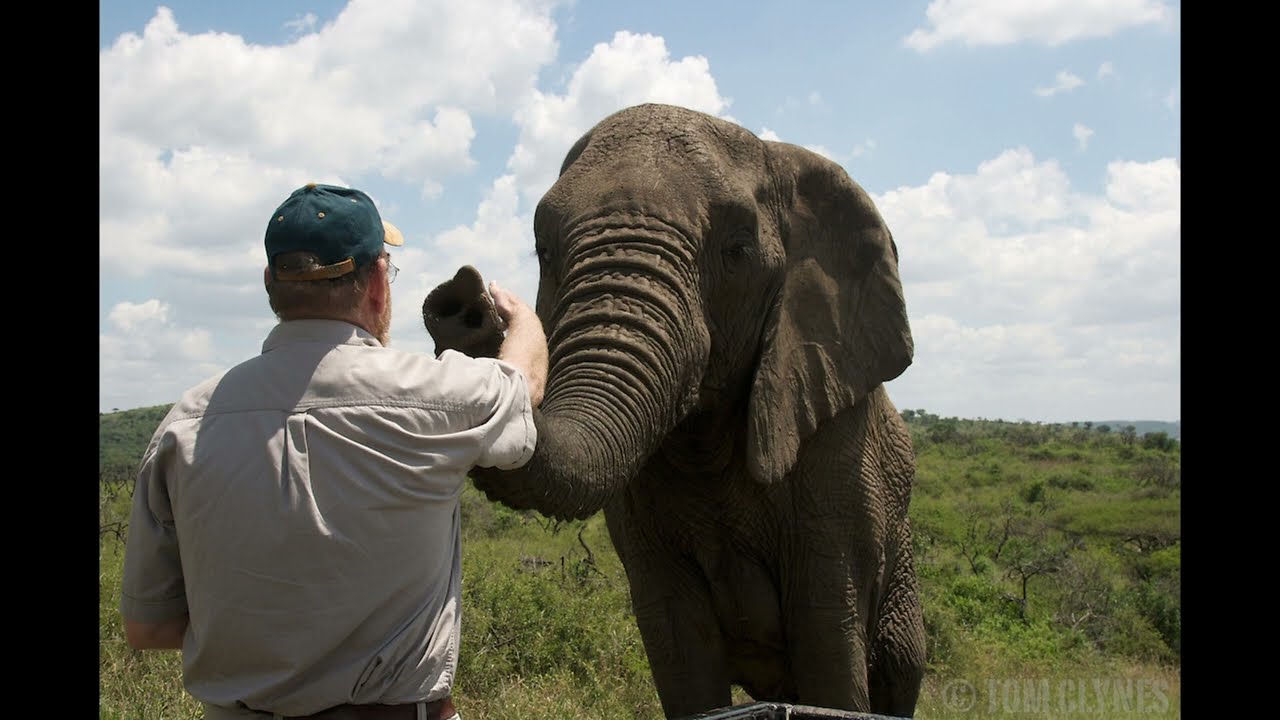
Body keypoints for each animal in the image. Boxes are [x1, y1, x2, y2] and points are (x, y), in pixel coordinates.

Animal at [424, 103, 926, 719]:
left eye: (738, 250)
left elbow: (830, 645)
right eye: (545, 250)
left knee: (897, 671)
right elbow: (680, 649)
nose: (465, 298)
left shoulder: (839, 461)